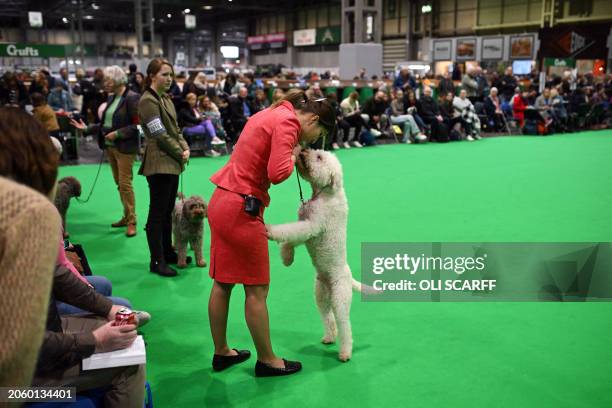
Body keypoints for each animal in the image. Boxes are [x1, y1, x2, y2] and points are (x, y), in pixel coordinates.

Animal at [266, 148, 368, 362]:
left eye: (319, 157)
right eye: (317, 151)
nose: (303, 150)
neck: (325, 193)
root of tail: (349, 278)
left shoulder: (312, 226)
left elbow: (289, 231)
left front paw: (270, 231)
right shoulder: (306, 228)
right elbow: (291, 238)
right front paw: (287, 257)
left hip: (340, 298)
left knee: (344, 325)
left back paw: (345, 352)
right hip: (320, 294)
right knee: (328, 319)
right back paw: (329, 337)